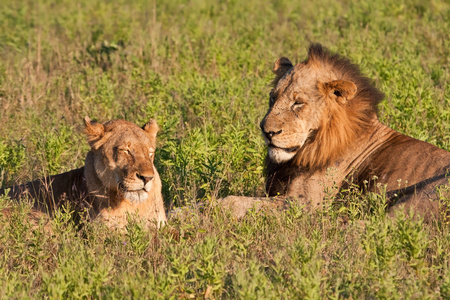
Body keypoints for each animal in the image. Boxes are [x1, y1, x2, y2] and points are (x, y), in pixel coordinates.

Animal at [222, 43, 450, 221]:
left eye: (298, 103)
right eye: (273, 97)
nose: (266, 131)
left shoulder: (306, 204)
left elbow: (233, 202)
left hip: (421, 196)